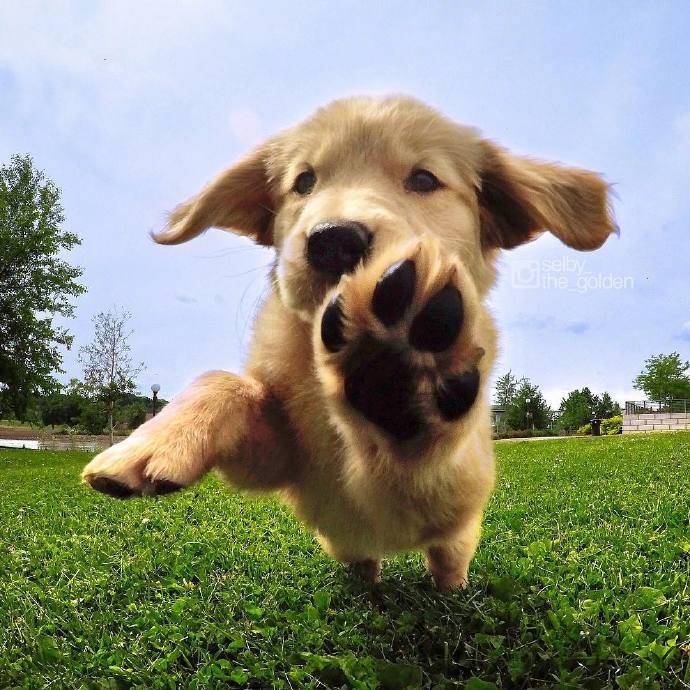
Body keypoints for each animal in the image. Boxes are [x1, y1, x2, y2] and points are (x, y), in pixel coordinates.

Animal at [82, 96, 614, 590]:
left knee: (447, 561)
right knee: (363, 562)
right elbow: (223, 381)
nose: (333, 241)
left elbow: (416, 458)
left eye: (424, 179)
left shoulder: (447, 488)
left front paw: (398, 374)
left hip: (458, 533)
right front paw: (148, 444)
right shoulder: (280, 459)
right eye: (304, 182)